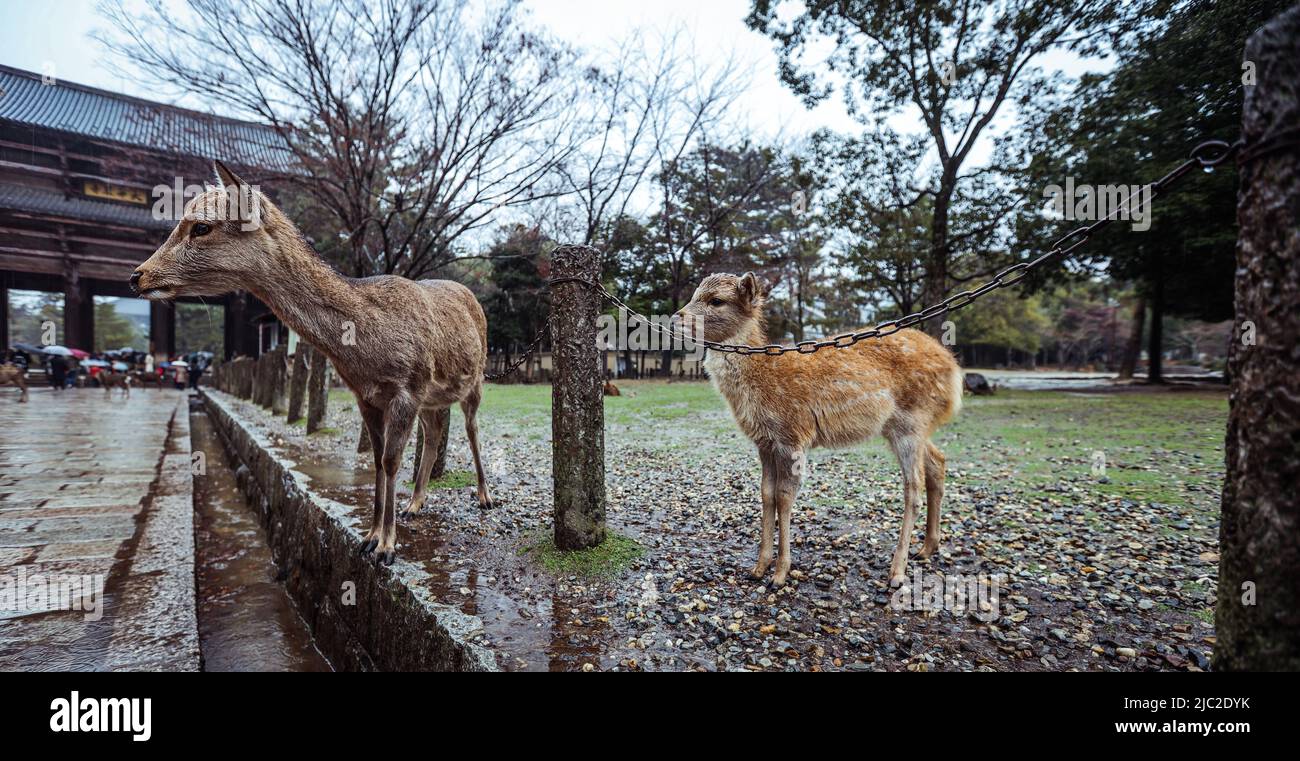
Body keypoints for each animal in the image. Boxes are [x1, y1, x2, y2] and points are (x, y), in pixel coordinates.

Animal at [131, 160, 493, 564]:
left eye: (201, 227)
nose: (137, 275)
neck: (368, 347)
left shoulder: (408, 388)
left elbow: (389, 461)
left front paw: (386, 547)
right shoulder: (367, 395)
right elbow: (377, 460)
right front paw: (369, 537)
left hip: (476, 377)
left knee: (473, 428)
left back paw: (484, 496)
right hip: (433, 398)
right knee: (434, 433)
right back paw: (414, 504)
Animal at [676, 273, 961, 587]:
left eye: (716, 300)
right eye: (694, 294)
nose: (676, 318)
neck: (763, 378)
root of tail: (954, 372)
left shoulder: (793, 433)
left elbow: (784, 497)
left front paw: (780, 574)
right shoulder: (764, 442)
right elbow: (766, 494)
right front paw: (759, 567)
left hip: (912, 420)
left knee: (913, 488)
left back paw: (897, 571)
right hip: (904, 425)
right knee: (937, 461)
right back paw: (927, 548)